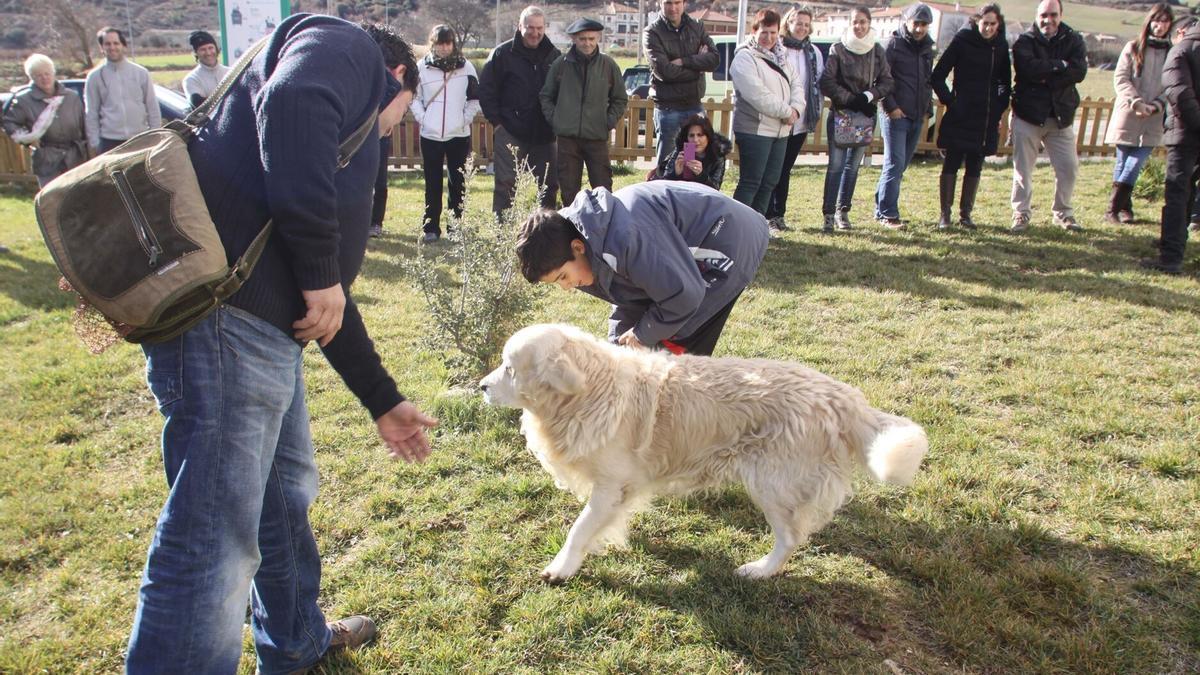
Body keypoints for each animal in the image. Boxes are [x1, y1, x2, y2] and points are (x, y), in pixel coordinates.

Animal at [477, 321, 926, 578]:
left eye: (509, 368)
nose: (481, 386)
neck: (588, 391)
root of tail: (842, 396)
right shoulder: (623, 489)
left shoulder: (611, 486)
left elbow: (580, 528)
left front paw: (561, 567)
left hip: (772, 484)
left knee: (791, 537)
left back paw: (760, 571)